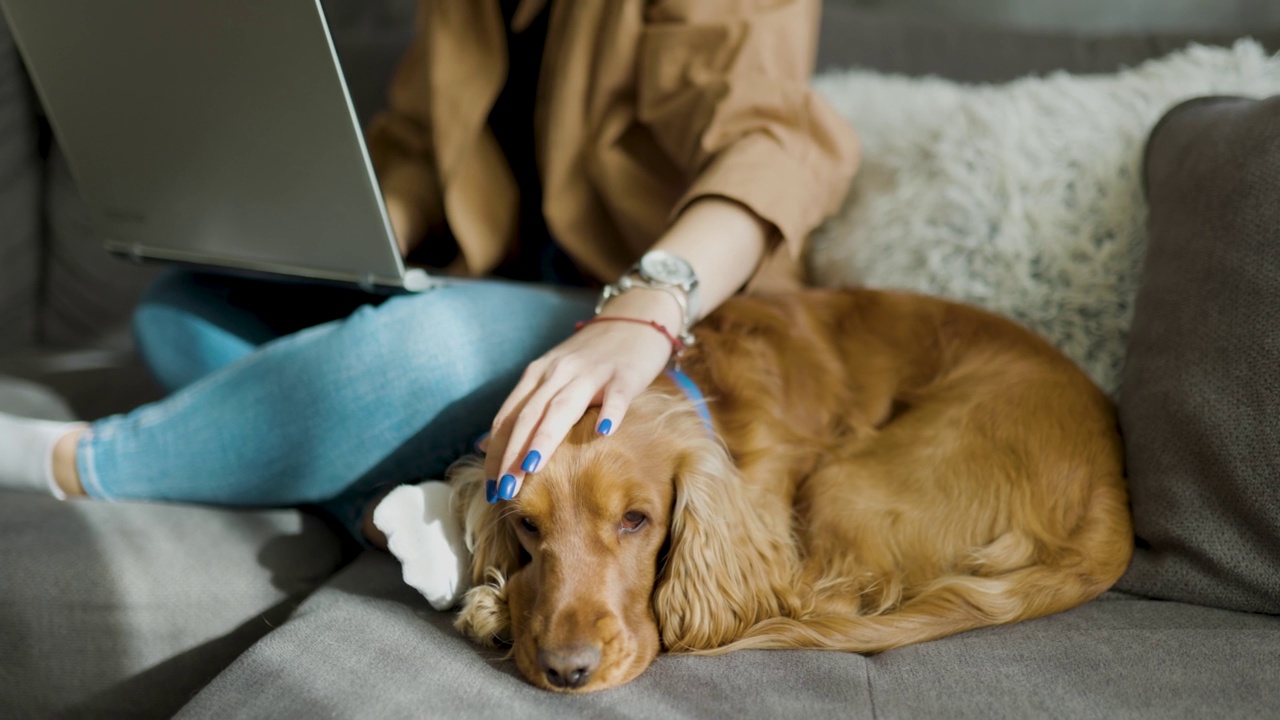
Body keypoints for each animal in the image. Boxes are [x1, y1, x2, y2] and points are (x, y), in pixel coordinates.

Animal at [448, 285, 1131, 691]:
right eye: (527, 525)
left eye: (635, 519)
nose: (567, 671)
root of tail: (1109, 481)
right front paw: (499, 604)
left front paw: (494, 607)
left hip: (846, 481)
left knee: (827, 601)